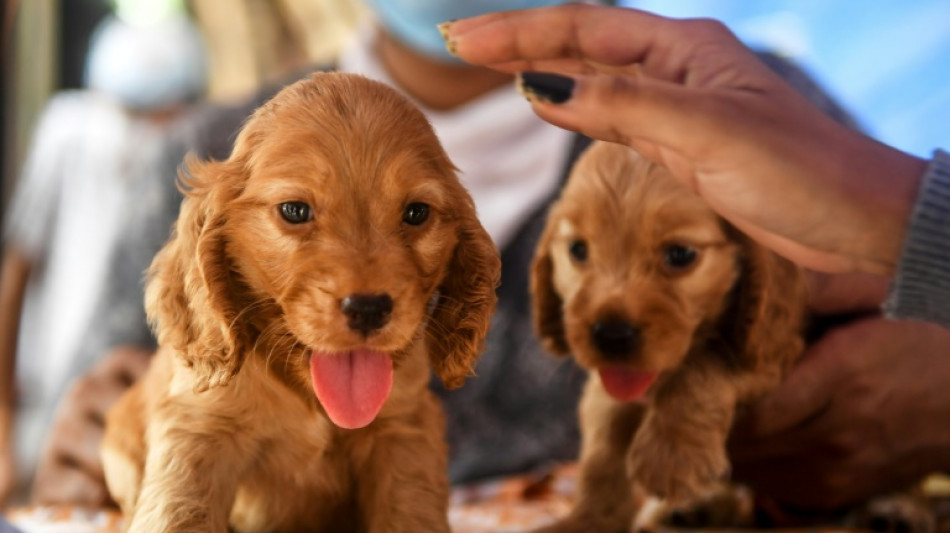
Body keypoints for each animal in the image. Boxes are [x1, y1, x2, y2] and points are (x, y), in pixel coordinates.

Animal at [103, 74, 502, 532]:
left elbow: (410, 511)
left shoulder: (402, 429)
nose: (368, 308)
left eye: (417, 213)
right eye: (294, 210)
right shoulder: (200, 427)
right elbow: (180, 511)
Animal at [532, 141, 808, 532]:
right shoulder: (605, 389)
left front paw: (673, 457)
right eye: (578, 250)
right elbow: (601, 453)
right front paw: (586, 521)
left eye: (680, 254)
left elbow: (703, 365)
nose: (611, 335)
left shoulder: (774, 353)